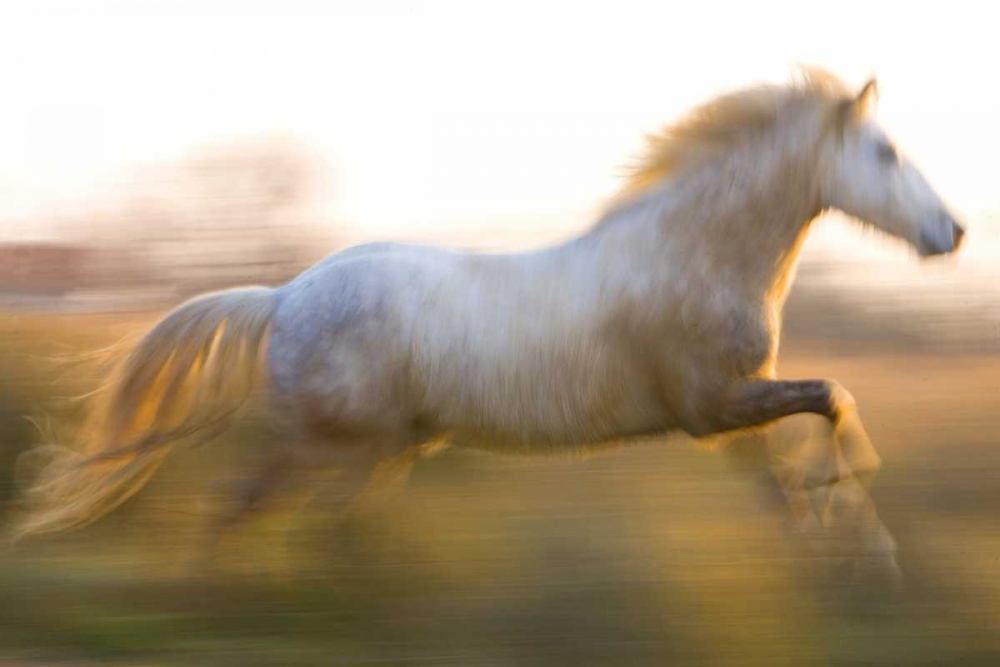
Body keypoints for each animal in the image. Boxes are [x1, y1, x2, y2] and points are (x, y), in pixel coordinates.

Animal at [14, 68, 964, 579]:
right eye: (885, 152)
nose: (951, 232)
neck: (690, 253)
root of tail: (283, 298)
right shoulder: (713, 405)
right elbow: (834, 400)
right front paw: (866, 539)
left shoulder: (733, 415)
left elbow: (790, 477)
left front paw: (847, 553)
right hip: (335, 446)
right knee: (262, 510)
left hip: (367, 449)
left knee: (279, 514)